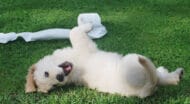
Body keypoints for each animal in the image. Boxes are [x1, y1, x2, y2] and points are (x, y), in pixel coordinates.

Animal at [24, 23, 183, 98]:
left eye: (46, 73)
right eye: (54, 86)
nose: (60, 78)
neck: (74, 66)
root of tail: (145, 89)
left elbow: (73, 31)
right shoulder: (83, 45)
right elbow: (74, 31)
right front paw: (89, 26)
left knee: (163, 77)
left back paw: (175, 73)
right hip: (133, 60)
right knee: (159, 77)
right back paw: (174, 75)